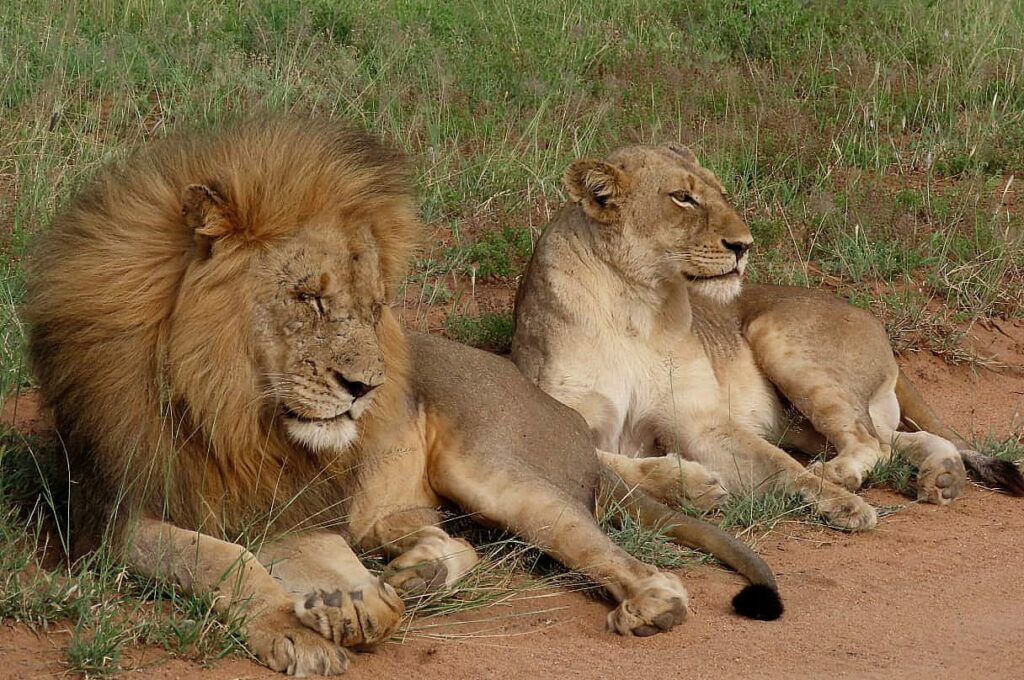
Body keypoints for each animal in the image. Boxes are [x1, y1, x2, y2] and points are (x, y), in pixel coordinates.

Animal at [25, 120, 782, 676]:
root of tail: (558, 412)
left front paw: (342, 603)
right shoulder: (112, 517)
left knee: (611, 552)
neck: (231, 408)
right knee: (451, 542)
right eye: (308, 298)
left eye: (370, 306)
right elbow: (223, 560)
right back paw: (413, 572)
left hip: (496, 471)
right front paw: (314, 618)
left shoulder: (292, 501)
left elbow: (287, 553)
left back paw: (647, 601)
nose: (367, 390)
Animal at [511, 143, 1024, 533]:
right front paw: (691, 485)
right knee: (894, 439)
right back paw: (942, 476)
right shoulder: (561, 417)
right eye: (682, 198)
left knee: (869, 440)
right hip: (800, 418)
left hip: (776, 335)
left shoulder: (702, 420)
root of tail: (870, 318)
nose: (744, 245)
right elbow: (613, 465)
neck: (637, 302)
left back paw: (849, 476)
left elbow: (780, 466)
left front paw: (843, 504)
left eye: (721, 193)